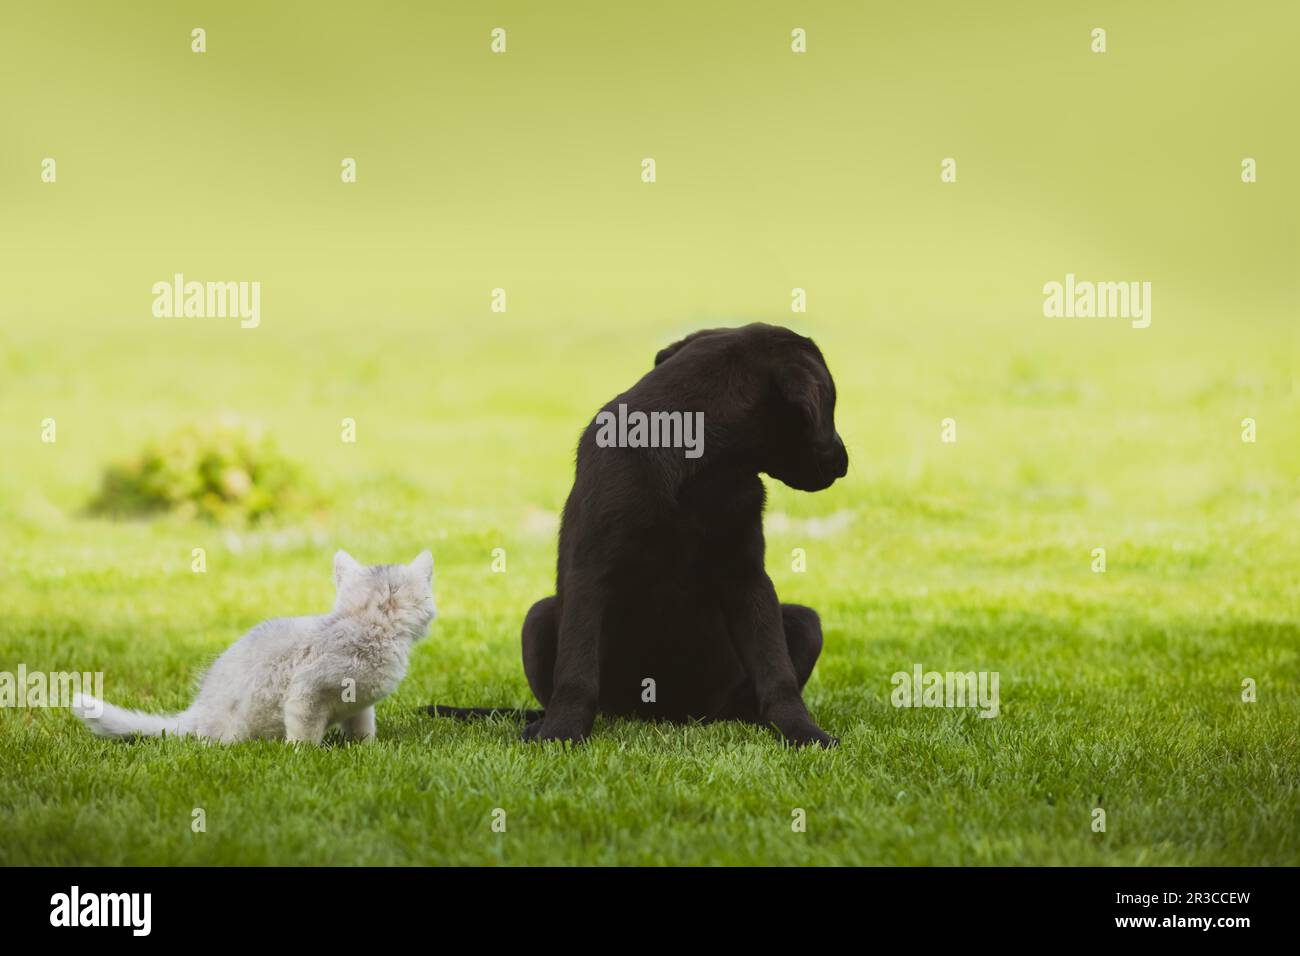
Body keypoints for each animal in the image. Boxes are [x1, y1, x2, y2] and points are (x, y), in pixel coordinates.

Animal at [72, 548, 436, 743]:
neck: (367, 626)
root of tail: (196, 714)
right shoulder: (306, 689)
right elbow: (303, 731)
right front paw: (303, 755)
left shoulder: (359, 703)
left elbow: (363, 727)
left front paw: (366, 749)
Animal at [431, 323, 847, 749]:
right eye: (830, 406)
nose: (843, 462)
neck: (694, 464)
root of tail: (665, 715)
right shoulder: (589, 573)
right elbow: (576, 674)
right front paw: (561, 733)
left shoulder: (746, 576)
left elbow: (776, 672)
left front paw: (801, 730)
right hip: (538, 620)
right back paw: (541, 724)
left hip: (804, 624)